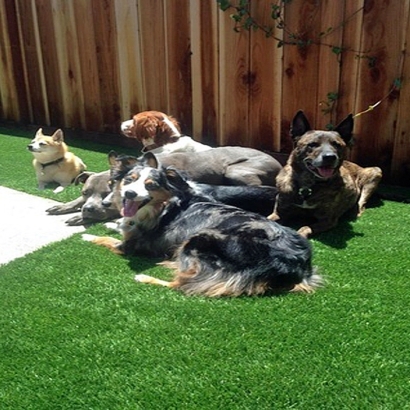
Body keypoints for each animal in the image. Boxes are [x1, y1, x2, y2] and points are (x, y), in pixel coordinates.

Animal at [82, 152, 320, 296]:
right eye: (129, 180)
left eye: (151, 185)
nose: (130, 193)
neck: (164, 205)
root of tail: (296, 262)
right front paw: (112, 224)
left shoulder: (129, 246)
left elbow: (106, 240)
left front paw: (87, 235)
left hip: (199, 238)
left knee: (182, 285)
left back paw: (145, 277)